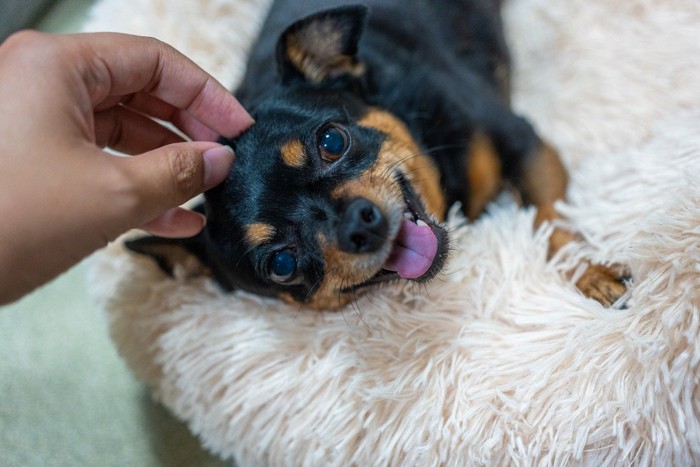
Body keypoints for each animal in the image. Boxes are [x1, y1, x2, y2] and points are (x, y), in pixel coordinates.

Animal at [129, 0, 628, 310]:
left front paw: (590, 272)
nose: (358, 224)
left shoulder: (523, 143)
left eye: (332, 142)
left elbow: (551, 218)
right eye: (281, 265)